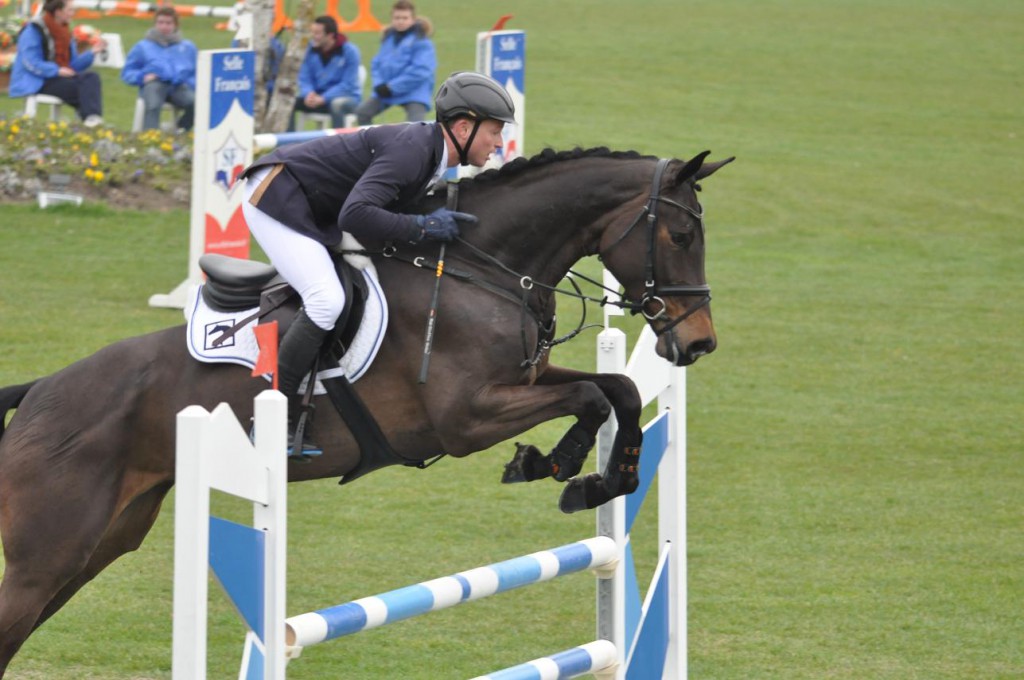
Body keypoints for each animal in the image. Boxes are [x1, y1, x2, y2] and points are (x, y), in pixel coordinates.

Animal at [0, 144, 733, 675]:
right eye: (678, 234)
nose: (698, 343)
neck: (483, 270)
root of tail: (40, 393)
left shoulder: (524, 379)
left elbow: (619, 392)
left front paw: (589, 476)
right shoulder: (466, 418)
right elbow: (589, 396)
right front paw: (562, 467)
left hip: (98, 545)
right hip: (46, 555)